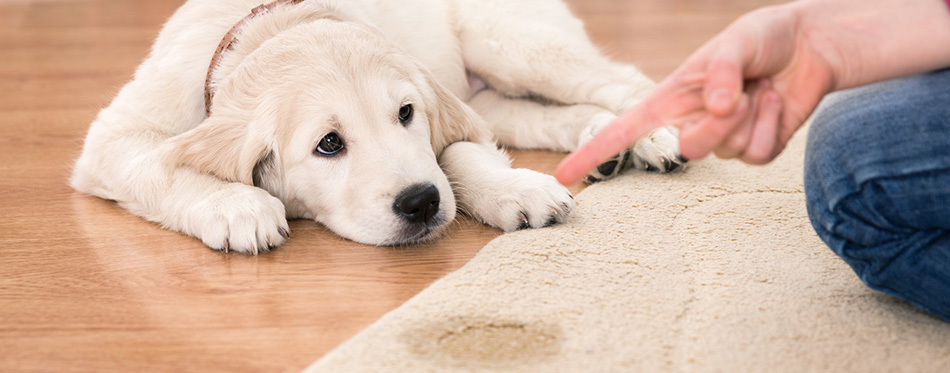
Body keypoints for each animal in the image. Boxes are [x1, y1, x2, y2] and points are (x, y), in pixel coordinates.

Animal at [72, 0, 684, 253]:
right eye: (329, 144)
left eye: (406, 114)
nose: (420, 203)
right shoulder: (113, 138)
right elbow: (161, 166)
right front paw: (237, 206)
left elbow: (456, 153)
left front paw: (514, 189)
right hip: (495, 89)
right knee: (545, 112)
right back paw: (602, 143)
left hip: (511, 41)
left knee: (618, 78)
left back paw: (654, 137)